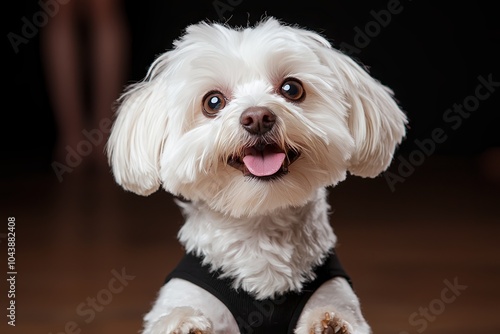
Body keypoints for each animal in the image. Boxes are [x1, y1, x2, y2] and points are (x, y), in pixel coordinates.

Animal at [105, 17, 406, 334]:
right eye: (213, 102)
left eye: (291, 88)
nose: (258, 117)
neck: (259, 223)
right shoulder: (187, 295)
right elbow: (175, 314)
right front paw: (183, 322)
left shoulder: (335, 293)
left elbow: (340, 314)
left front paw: (329, 323)